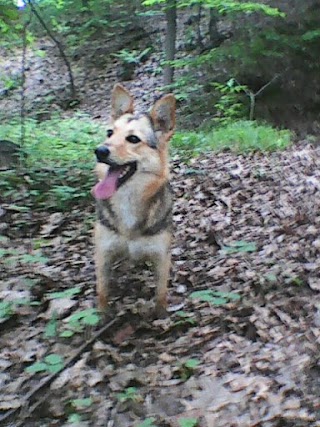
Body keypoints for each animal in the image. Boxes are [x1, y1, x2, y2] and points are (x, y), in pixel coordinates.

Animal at [91, 84, 176, 318]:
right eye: (109, 133)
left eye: (134, 139)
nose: (100, 150)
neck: (128, 199)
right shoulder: (103, 253)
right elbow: (102, 290)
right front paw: (102, 317)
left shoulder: (162, 256)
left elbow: (161, 293)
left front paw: (161, 316)